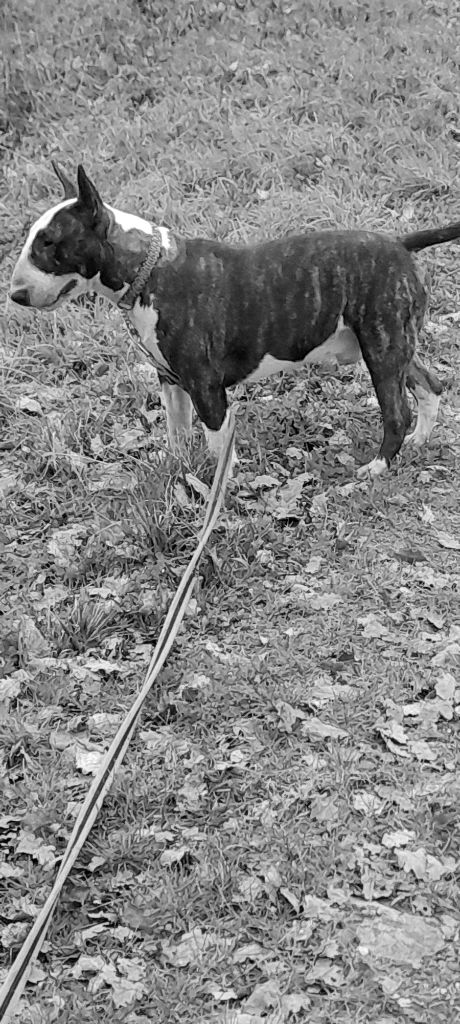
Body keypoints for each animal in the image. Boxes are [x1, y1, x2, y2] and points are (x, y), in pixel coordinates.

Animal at [10, 163, 459, 477]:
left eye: (49, 243)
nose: (16, 295)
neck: (148, 269)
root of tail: (399, 244)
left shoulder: (205, 386)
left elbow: (216, 445)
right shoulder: (170, 381)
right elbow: (177, 434)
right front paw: (177, 472)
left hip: (381, 345)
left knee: (397, 410)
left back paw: (378, 467)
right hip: (391, 341)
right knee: (430, 384)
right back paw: (419, 441)